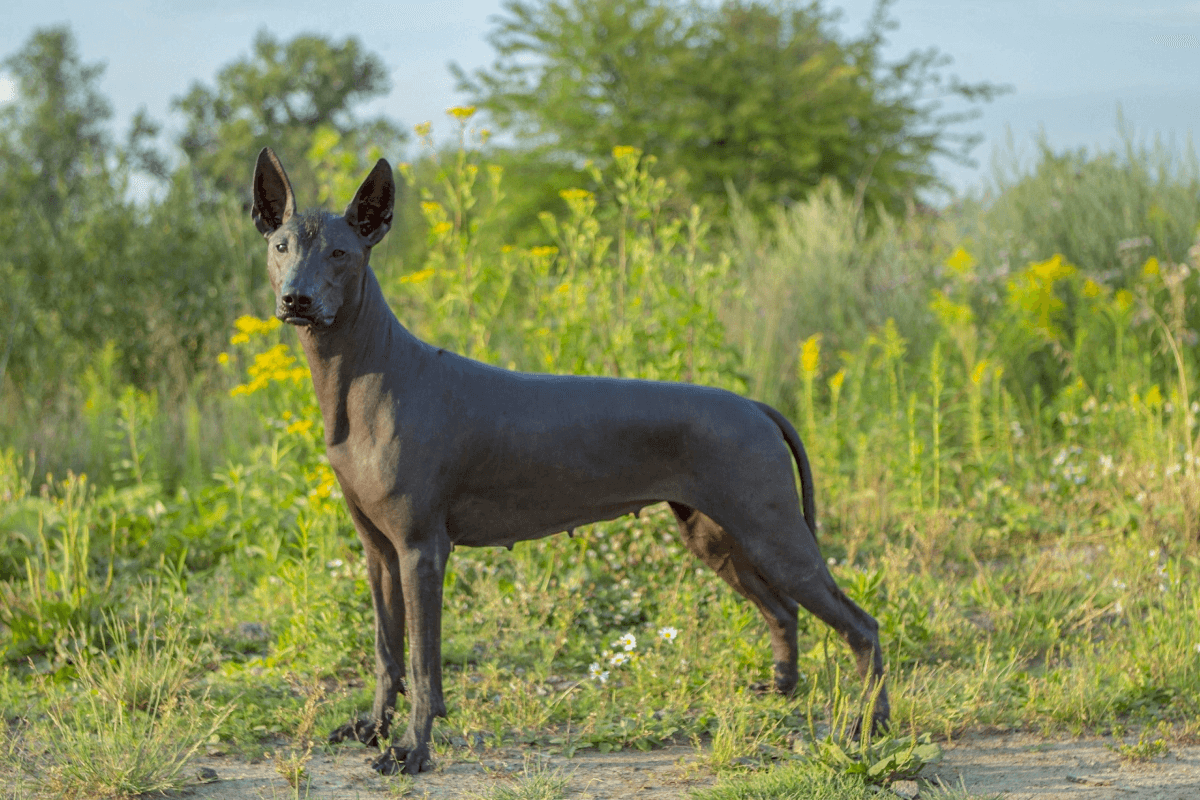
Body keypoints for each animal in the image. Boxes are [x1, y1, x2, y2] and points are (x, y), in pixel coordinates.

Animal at [250, 148, 892, 777]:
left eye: (340, 253)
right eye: (280, 247)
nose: (296, 299)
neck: (367, 375)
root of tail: (754, 405)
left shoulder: (421, 552)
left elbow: (424, 665)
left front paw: (412, 750)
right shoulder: (379, 553)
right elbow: (388, 653)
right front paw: (374, 728)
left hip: (774, 534)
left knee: (862, 626)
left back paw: (868, 728)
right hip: (719, 539)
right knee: (783, 612)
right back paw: (782, 690)